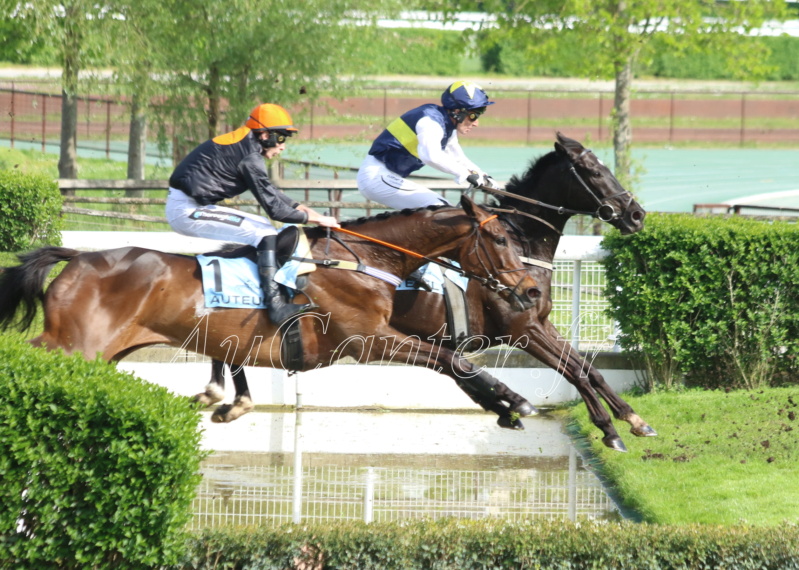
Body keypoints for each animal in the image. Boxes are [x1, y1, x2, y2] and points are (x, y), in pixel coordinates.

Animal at [0, 195, 540, 426]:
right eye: (499, 238)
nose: (533, 290)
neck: (363, 261)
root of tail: (77, 257)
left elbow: (452, 361)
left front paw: (502, 404)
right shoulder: (368, 338)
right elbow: (454, 360)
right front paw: (514, 402)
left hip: (96, 354)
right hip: (73, 346)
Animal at [198, 132, 656, 448]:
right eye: (595, 171)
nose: (636, 214)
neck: (520, 245)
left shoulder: (540, 321)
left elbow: (588, 369)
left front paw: (631, 421)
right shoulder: (521, 329)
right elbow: (574, 370)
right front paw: (612, 428)